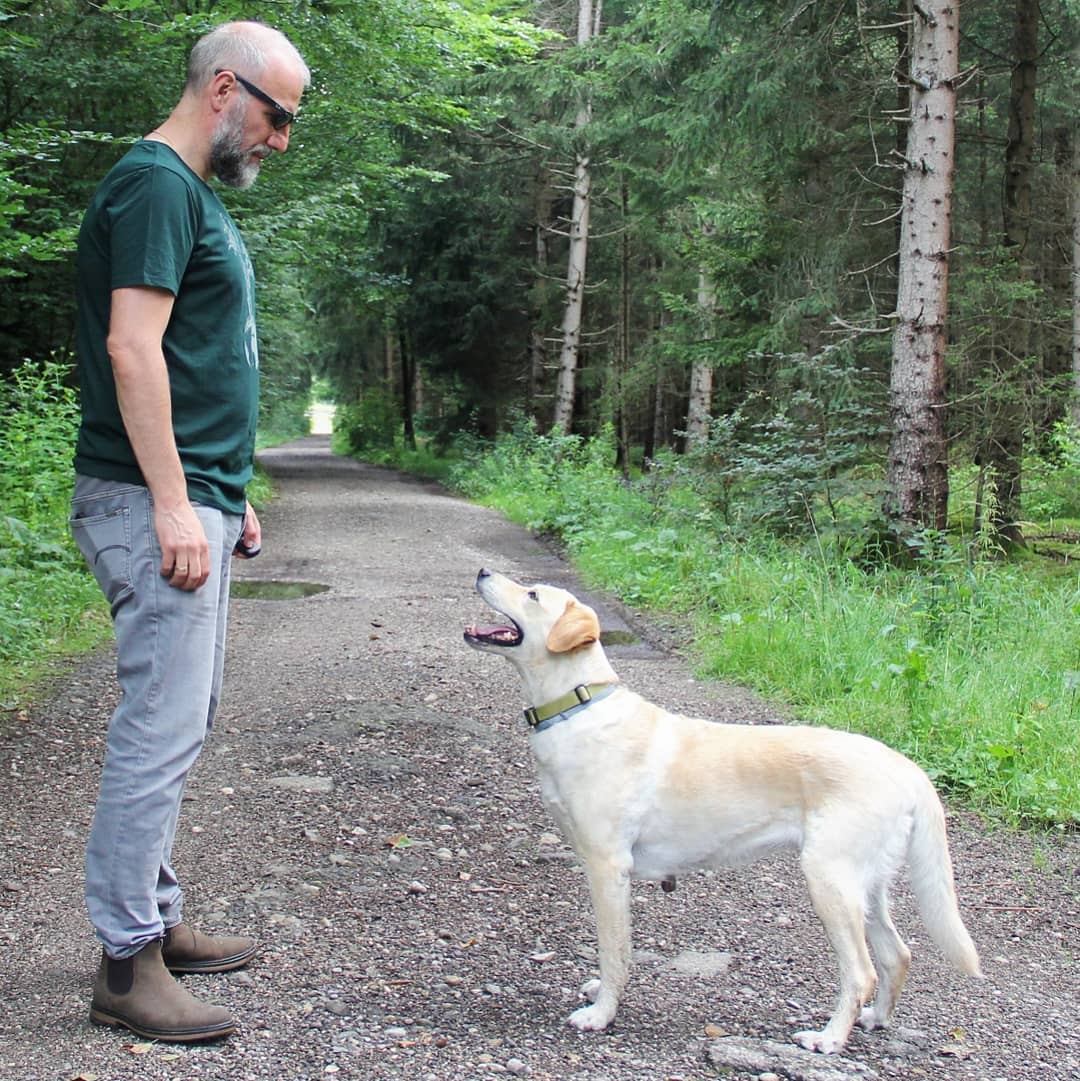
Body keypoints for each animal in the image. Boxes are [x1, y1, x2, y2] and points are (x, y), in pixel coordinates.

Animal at [460, 570, 985, 1050]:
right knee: (898, 954)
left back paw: (829, 1038)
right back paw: (874, 1019)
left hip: (829, 879)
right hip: (867, 886)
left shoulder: (608, 868)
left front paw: (601, 1013)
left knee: (861, 972)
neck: (577, 704)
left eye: (532, 594)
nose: (483, 571)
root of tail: (905, 766)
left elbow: (615, 952)